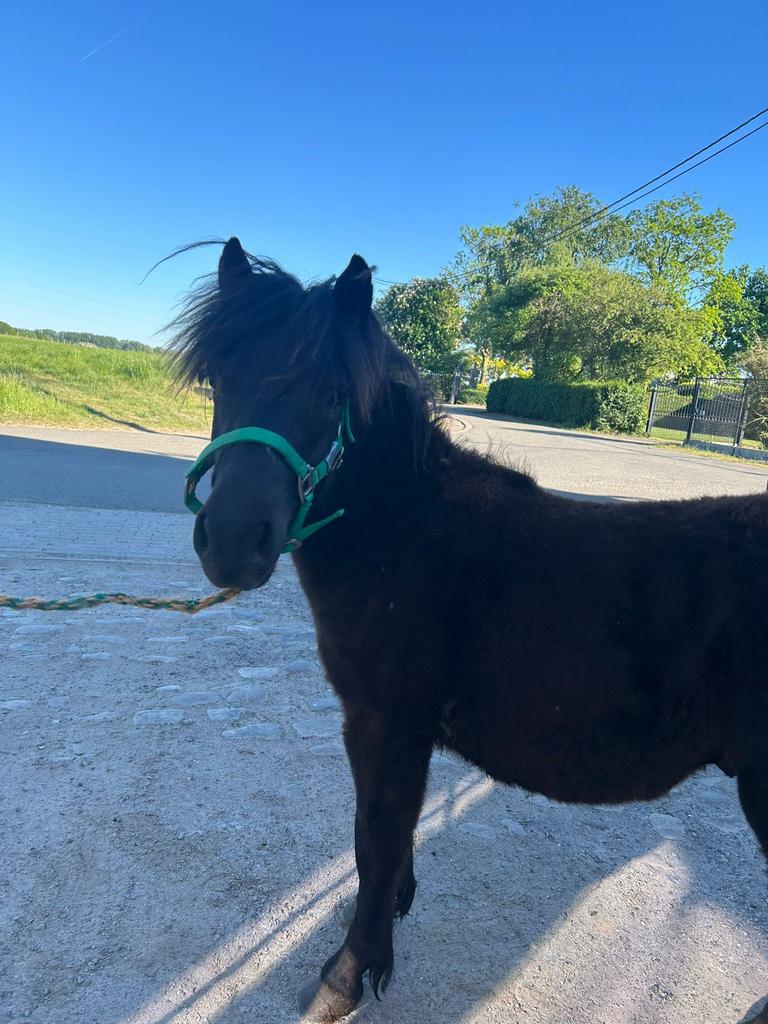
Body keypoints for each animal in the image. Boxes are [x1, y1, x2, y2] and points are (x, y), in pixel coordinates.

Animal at [172, 237, 768, 1022]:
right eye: (219, 378)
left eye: (332, 395)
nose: (234, 543)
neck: (409, 535)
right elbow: (385, 842)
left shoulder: (386, 720)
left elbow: (376, 838)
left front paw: (348, 975)